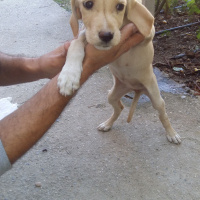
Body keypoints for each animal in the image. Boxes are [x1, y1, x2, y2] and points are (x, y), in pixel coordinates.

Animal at [57, 0, 181, 144]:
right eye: (88, 4)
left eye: (120, 6)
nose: (106, 36)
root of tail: (136, 89)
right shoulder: (85, 34)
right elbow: (76, 43)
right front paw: (69, 76)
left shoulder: (148, 32)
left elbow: (143, 30)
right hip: (112, 95)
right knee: (119, 108)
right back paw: (107, 124)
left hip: (156, 99)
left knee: (163, 115)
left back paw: (172, 133)